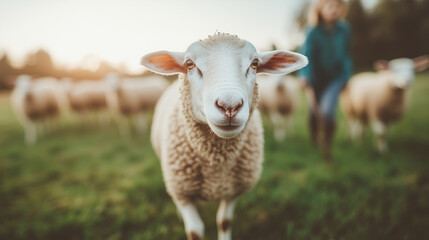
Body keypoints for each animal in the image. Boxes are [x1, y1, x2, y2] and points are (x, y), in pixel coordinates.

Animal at [140, 32, 308, 240]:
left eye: (254, 64)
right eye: (189, 63)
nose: (230, 106)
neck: (217, 161)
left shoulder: (233, 190)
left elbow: (224, 221)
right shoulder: (182, 192)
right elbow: (195, 230)